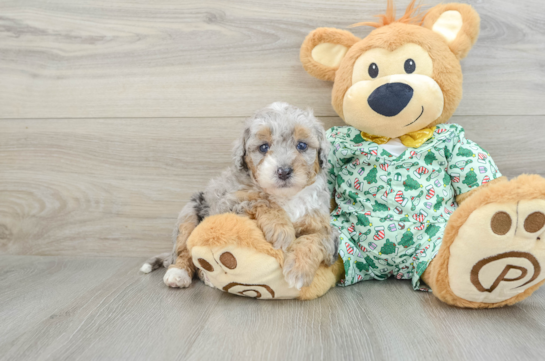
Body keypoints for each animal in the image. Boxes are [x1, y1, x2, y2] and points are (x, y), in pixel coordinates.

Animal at [141, 102, 336, 288]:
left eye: (302, 145)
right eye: (263, 147)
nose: (284, 171)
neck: (285, 196)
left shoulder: (322, 225)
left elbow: (315, 238)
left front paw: (299, 271)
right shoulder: (227, 204)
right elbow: (262, 202)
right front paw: (281, 229)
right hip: (189, 213)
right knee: (184, 251)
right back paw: (179, 274)